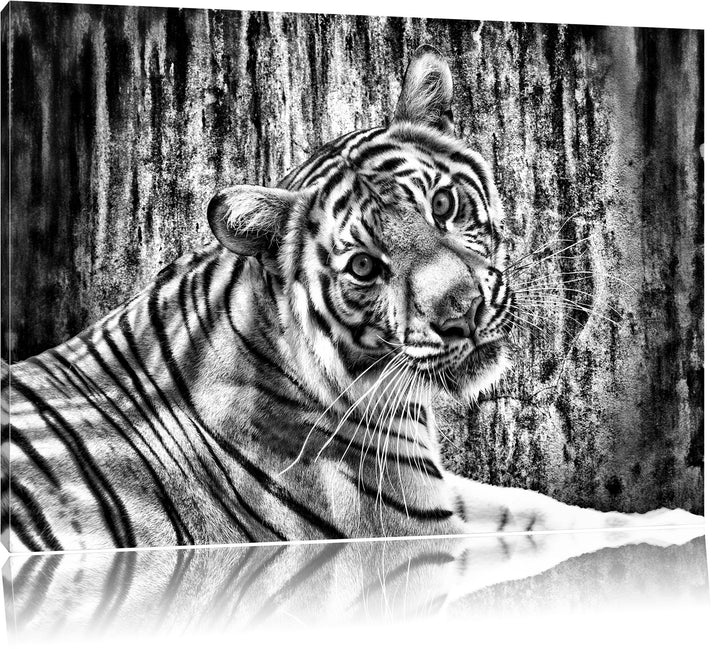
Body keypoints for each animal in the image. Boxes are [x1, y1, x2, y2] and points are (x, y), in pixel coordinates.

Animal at [0, 45, 703, 552]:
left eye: (443, 205)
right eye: (364, 266)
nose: (463, 311)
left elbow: (537, 506)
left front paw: (671, 521)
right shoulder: (412, 524)